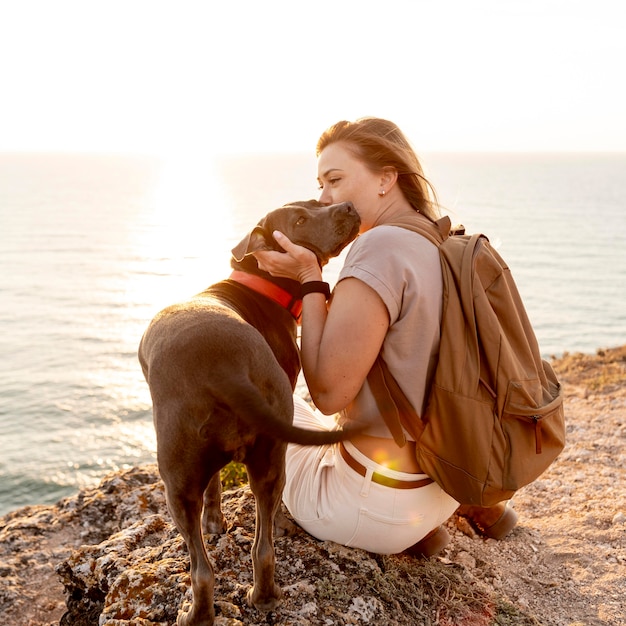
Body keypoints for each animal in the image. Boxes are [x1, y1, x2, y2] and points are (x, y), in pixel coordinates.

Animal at [138, 200, 358, 624]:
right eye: (301, 217)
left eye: (317, 202)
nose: (349, 206)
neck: (258, 285)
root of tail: (224, 366)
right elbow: (216, 484)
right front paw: (215, 521)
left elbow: (212, 485)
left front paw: (212, 523)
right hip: (270, 455)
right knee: (264, 548)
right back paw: (265, 597)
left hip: (175, 480)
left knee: (201, 569)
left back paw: (196, 614)